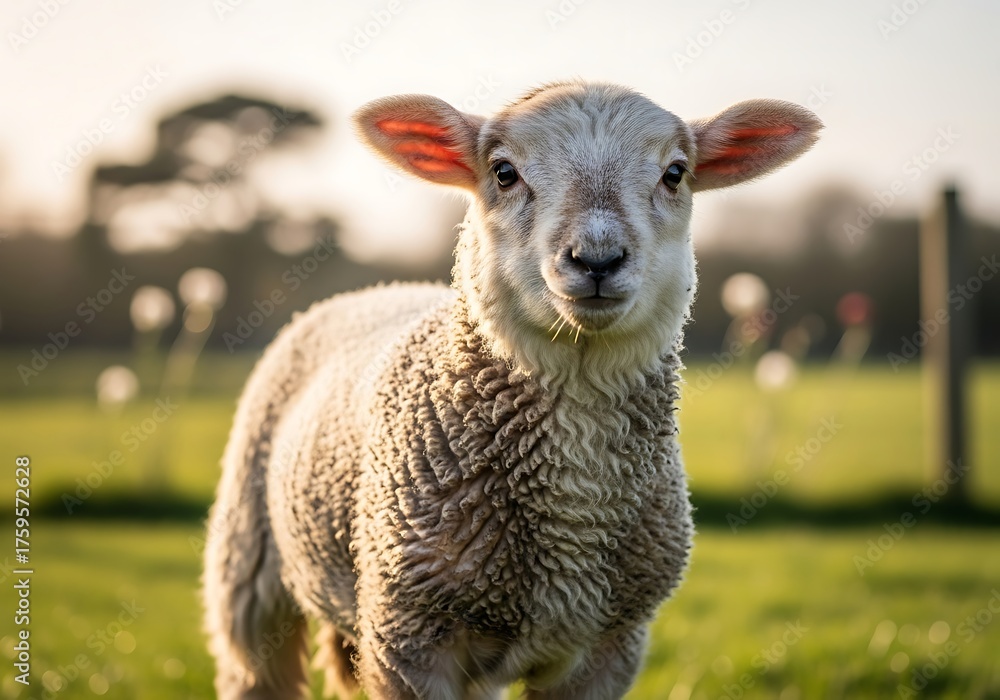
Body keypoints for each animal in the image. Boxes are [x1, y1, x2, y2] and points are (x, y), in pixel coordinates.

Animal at [203, 80, 821, 700]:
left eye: (675, 173)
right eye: (503, 173)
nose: (597, 259)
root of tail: (377, 288)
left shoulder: (611, 645)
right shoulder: (408, 636)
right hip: (249, 562)